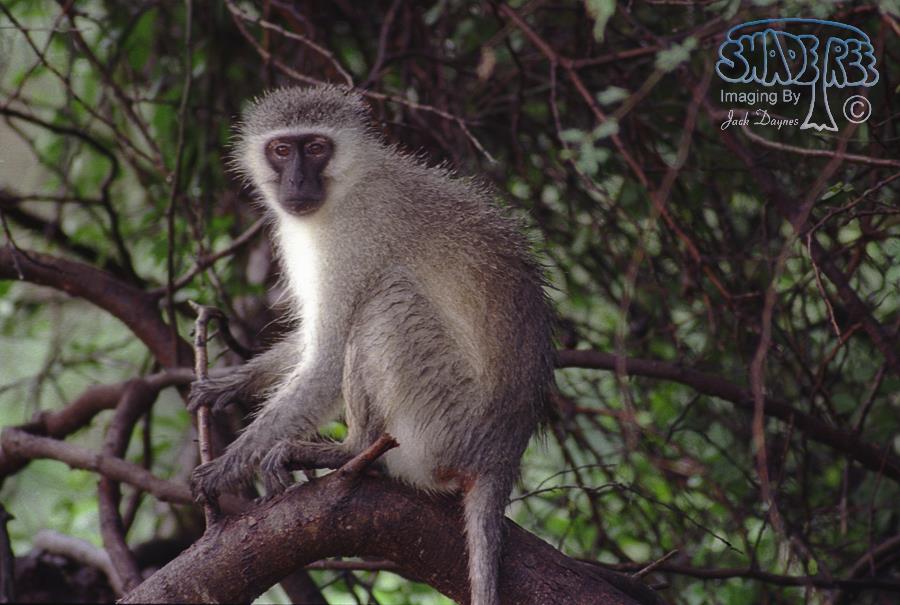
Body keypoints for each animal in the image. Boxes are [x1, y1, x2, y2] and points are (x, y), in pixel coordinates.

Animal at [189, 85, 555, 605]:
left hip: (442, 423)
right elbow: (311, 343)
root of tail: (499, 458)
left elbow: (326, 358)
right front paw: (230, 384)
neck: (348, 186)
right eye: (281, 149)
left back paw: (350, 452)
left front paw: (225, 468)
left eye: (315, 147)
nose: (297, 180)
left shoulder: (356, 240)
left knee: (385, 300)